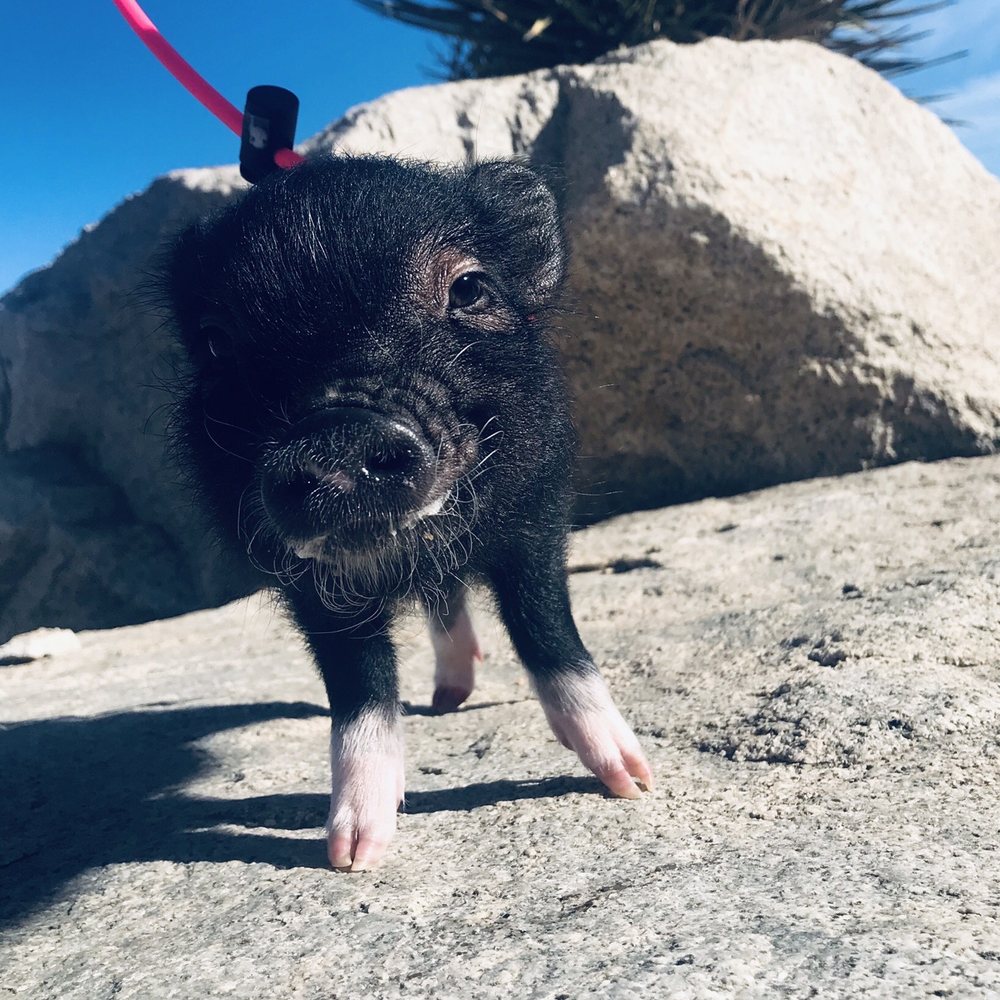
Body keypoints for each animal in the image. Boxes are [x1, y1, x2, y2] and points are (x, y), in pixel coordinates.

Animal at [161, 155, 653, 871]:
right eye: (217, 342)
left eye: (470, 288)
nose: (337, 432)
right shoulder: (305, 582)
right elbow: (357, 681)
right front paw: (352, 855)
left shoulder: (536, 514)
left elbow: (547, 628)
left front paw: (633, 782)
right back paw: (445, 703)